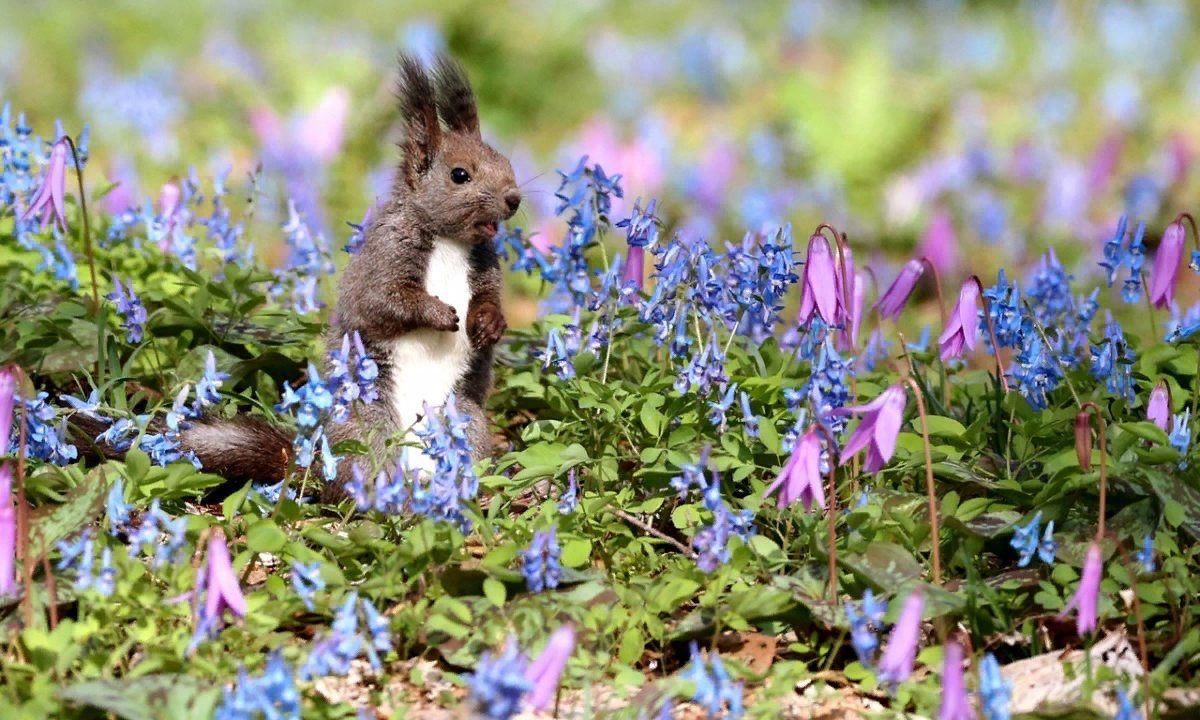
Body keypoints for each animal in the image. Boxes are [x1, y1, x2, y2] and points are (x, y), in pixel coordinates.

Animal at [98, 53, 520, 496]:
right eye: (460, 175)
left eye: (506, 162)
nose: (514, 199)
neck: (450, 242)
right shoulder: (384, 258)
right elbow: (385, 302)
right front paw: (438, 313)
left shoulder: (484, 266)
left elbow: (489, 297)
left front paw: (490, 323)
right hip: (367, 425)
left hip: (466, 422)